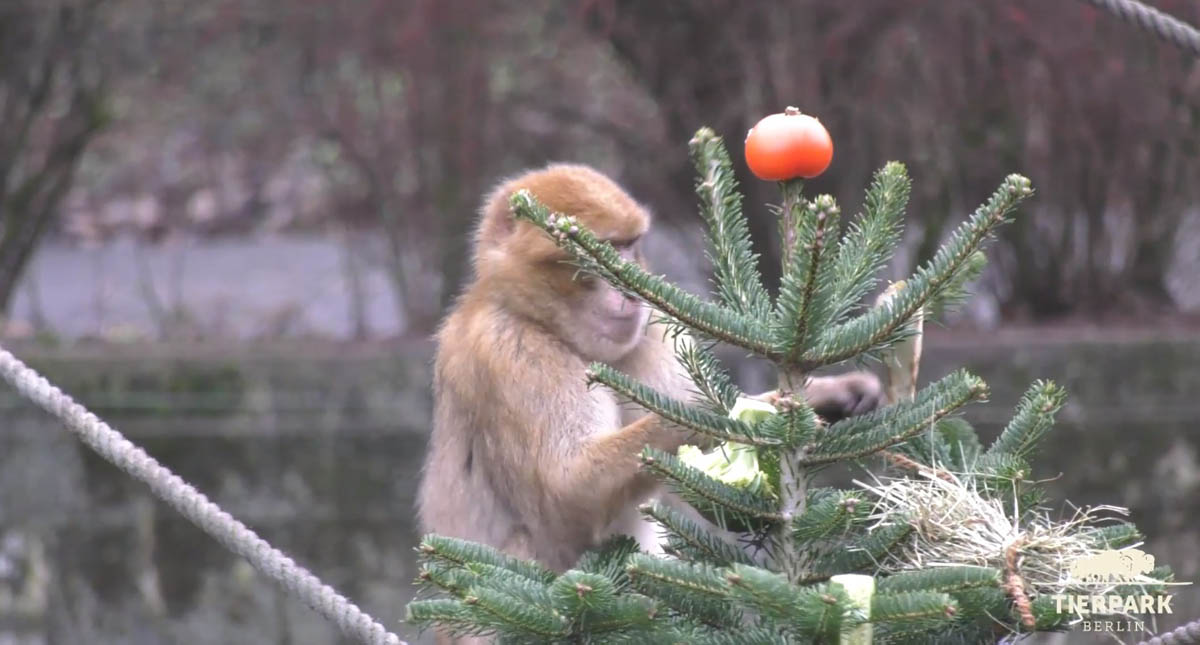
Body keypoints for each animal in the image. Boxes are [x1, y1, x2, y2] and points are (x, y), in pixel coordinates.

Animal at [416, 164, 882, 642]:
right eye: (595, 254)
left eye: (627, 246)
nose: (627, 285)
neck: (540, 320)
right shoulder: (513, 353)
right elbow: (566, 492)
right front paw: (749, 413)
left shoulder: (650, 328)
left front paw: (825, 397)